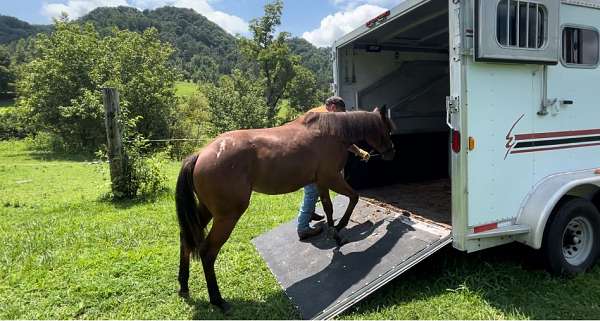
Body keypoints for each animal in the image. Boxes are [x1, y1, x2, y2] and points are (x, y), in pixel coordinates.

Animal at [176, 107, 396, 310]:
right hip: (226, 217)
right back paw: (218, 300)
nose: (392, 152)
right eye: (387, 129)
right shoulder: (332, 178)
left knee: (185, 239)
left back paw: (184, 286)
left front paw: (336, 234)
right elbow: (353, 198)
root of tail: (200, 154)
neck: (332, 132)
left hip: (206, 211)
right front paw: (341, 227)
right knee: (207, 253)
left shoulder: (321, 182)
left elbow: (328, 208)